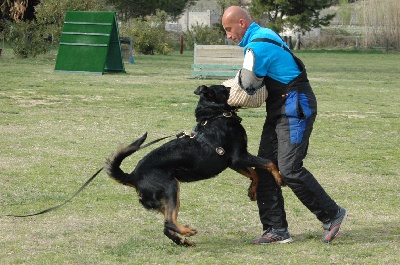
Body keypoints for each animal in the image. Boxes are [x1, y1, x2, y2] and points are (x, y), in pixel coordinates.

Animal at [104, 85, 282, 245]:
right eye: (227, 89)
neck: (216, 115)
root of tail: (133, 176)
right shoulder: (239, 156)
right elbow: (269, 163)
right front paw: (280, 179)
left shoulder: (233, 162)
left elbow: (254, 173)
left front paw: (252, 191)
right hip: (171, 188)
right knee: (168, 222)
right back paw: (187, 231)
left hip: (168, 198)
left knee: (166, 227)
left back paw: (183, 241)